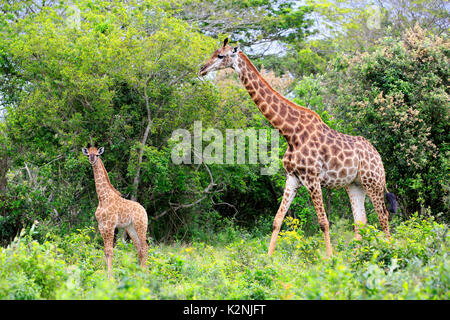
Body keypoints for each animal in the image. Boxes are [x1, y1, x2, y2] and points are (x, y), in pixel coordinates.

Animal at [81, 146, 149, 278]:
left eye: (97, 154)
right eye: (88, 154)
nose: (92, 160)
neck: (102, 198)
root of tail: (144, 211)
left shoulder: (110, 225)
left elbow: (110, 250)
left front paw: (110, 277)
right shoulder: (101, 226)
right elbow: (105, 251)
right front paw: (107, 274)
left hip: (141, 225)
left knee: (145, 247)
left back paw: (145, 274)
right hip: (131, 228)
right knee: (139, 248)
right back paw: (138, 273)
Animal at [199, 38, 396, 258]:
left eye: (221, 56)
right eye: (214, 52)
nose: (202, 69)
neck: (290, 133)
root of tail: (378, 156)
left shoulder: (312, 178)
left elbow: (323, 222)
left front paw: (330, 260)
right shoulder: (293, 178)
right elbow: (277, 220)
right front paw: (268, 260)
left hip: (373, 182)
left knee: (383, 216)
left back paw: (388, 253)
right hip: (354, 185)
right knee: (360, 221)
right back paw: (359, 256)